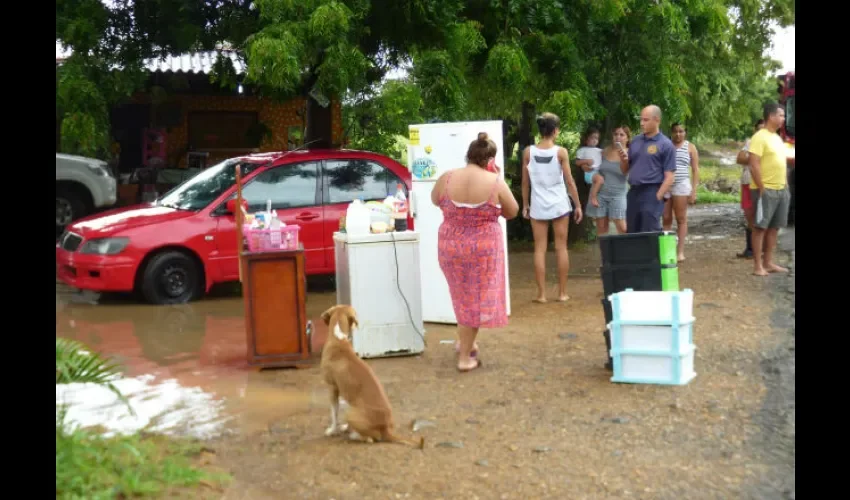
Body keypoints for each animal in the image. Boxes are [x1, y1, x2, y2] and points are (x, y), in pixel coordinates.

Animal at [318, 304, 424, 450]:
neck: (338, 339)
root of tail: (385, 430)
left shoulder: (332, 388)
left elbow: (334, 413)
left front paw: (332, 430)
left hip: (350, 412)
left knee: (370, 439)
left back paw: (353, 434)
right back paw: (349, 428)